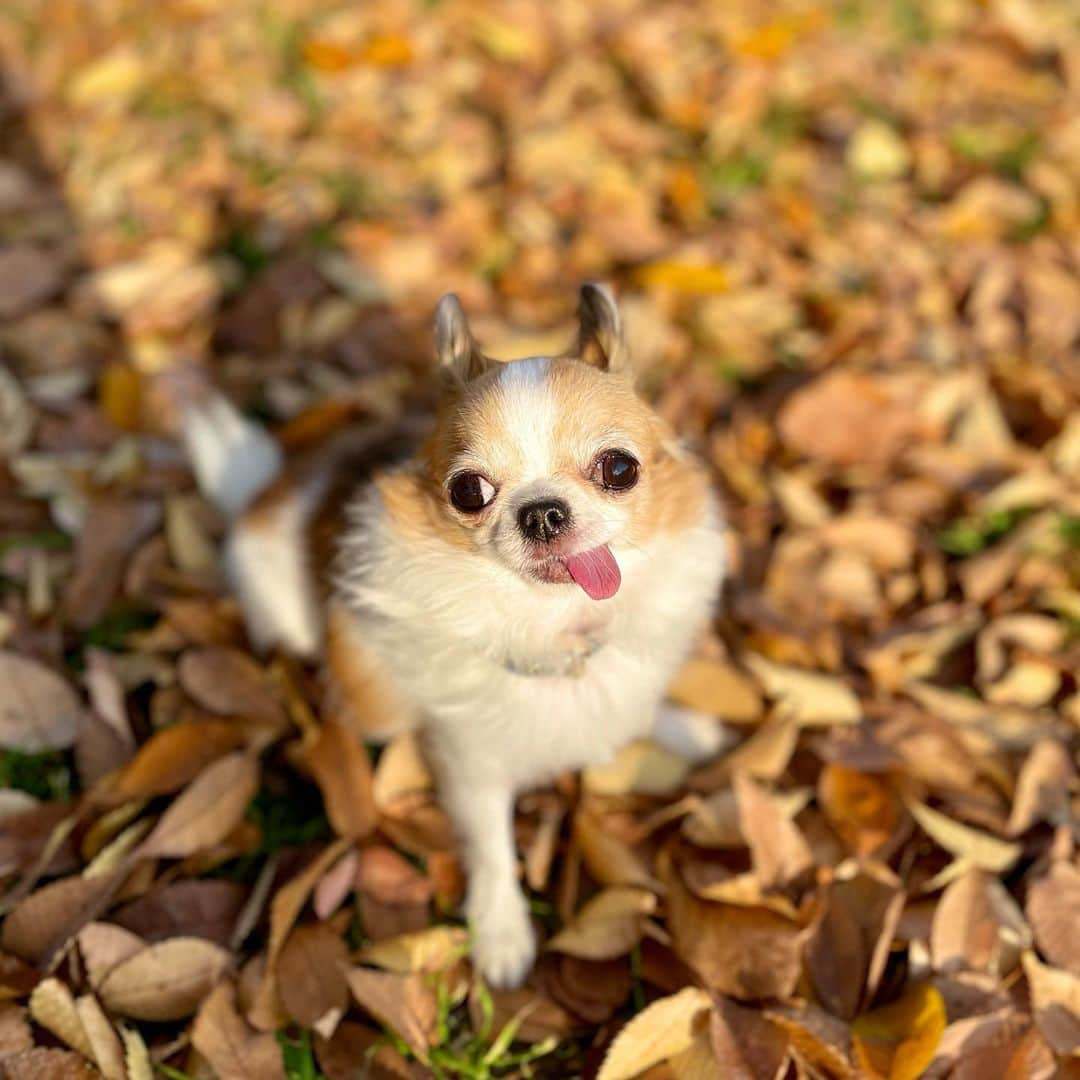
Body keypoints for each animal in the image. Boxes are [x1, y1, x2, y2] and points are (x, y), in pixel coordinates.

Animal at [187, 285, 725, 989]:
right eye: (468, 490)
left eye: (619, 469)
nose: (543, 511)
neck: (551, 628)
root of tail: (261, 496)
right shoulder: (472, 765)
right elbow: (493, 849)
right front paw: (501, 933)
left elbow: (635, 701)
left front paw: (682, 726)